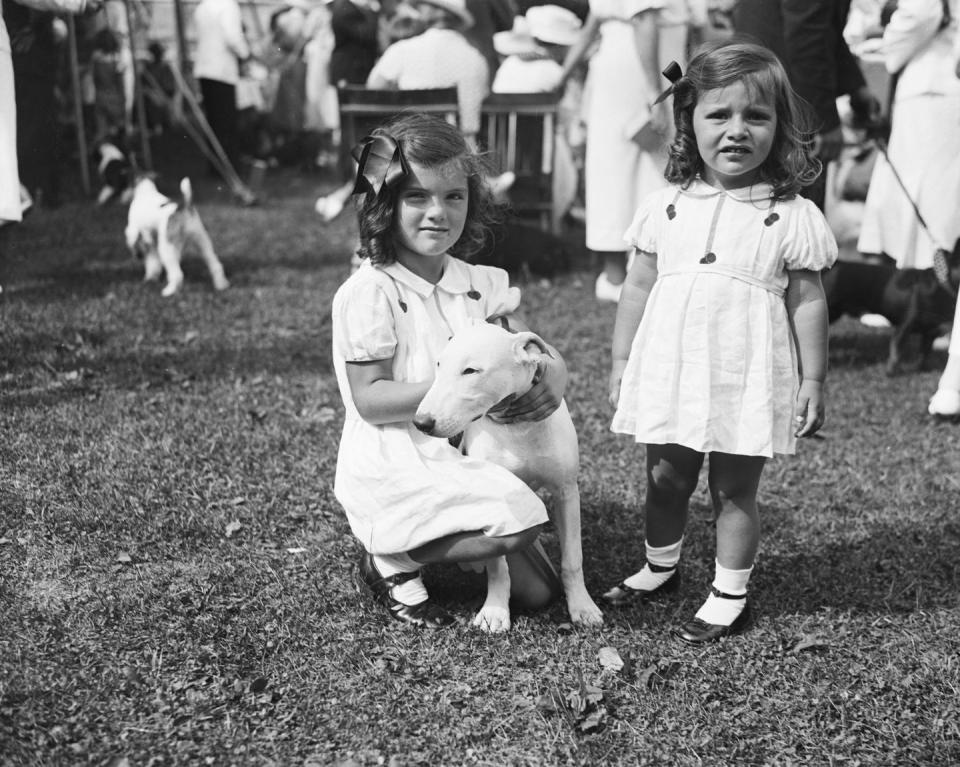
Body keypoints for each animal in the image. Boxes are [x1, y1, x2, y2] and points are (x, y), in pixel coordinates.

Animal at [410, 320, 600, 632]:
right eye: (439, 364)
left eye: (470, 371)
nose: (421, 422)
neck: (517, 427)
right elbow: (498, 568)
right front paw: (495, 612)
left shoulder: (567, 492)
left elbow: (573, 558)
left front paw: (582, 607)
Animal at [816, 243, 960, 376]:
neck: (944, 287)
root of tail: (836, 265)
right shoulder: (904, 327)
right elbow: (897, 351)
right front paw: (891, 372)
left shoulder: (931, 333)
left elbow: (924, 354)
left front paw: (921, 369)